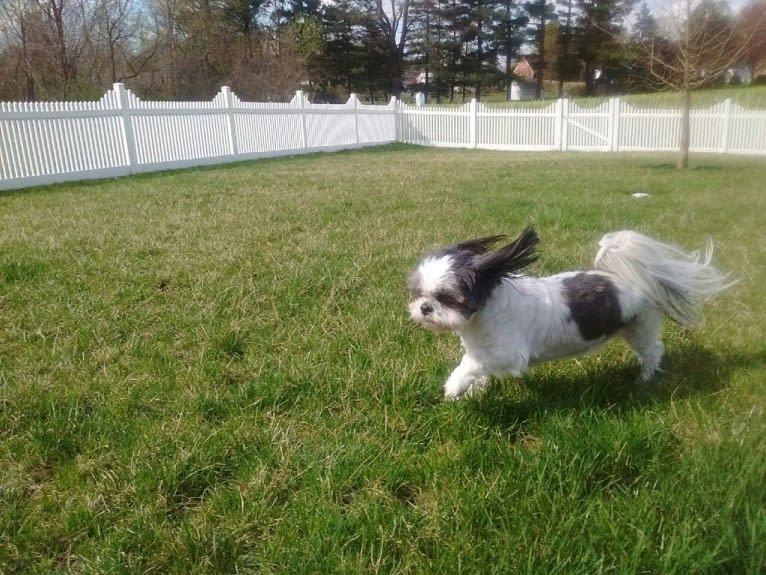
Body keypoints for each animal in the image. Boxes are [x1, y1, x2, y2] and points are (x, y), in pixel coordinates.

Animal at [408, 227, 736, 398]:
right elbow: (477, 367)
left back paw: (644, 379)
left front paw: (455, 385)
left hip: (640, 327)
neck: (485, 313)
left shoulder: (509, 354)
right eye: (417, 292)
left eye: (447, 297)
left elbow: (472, 365)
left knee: (653, 350)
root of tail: (633, 277)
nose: (425, 307)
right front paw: (475, 390)